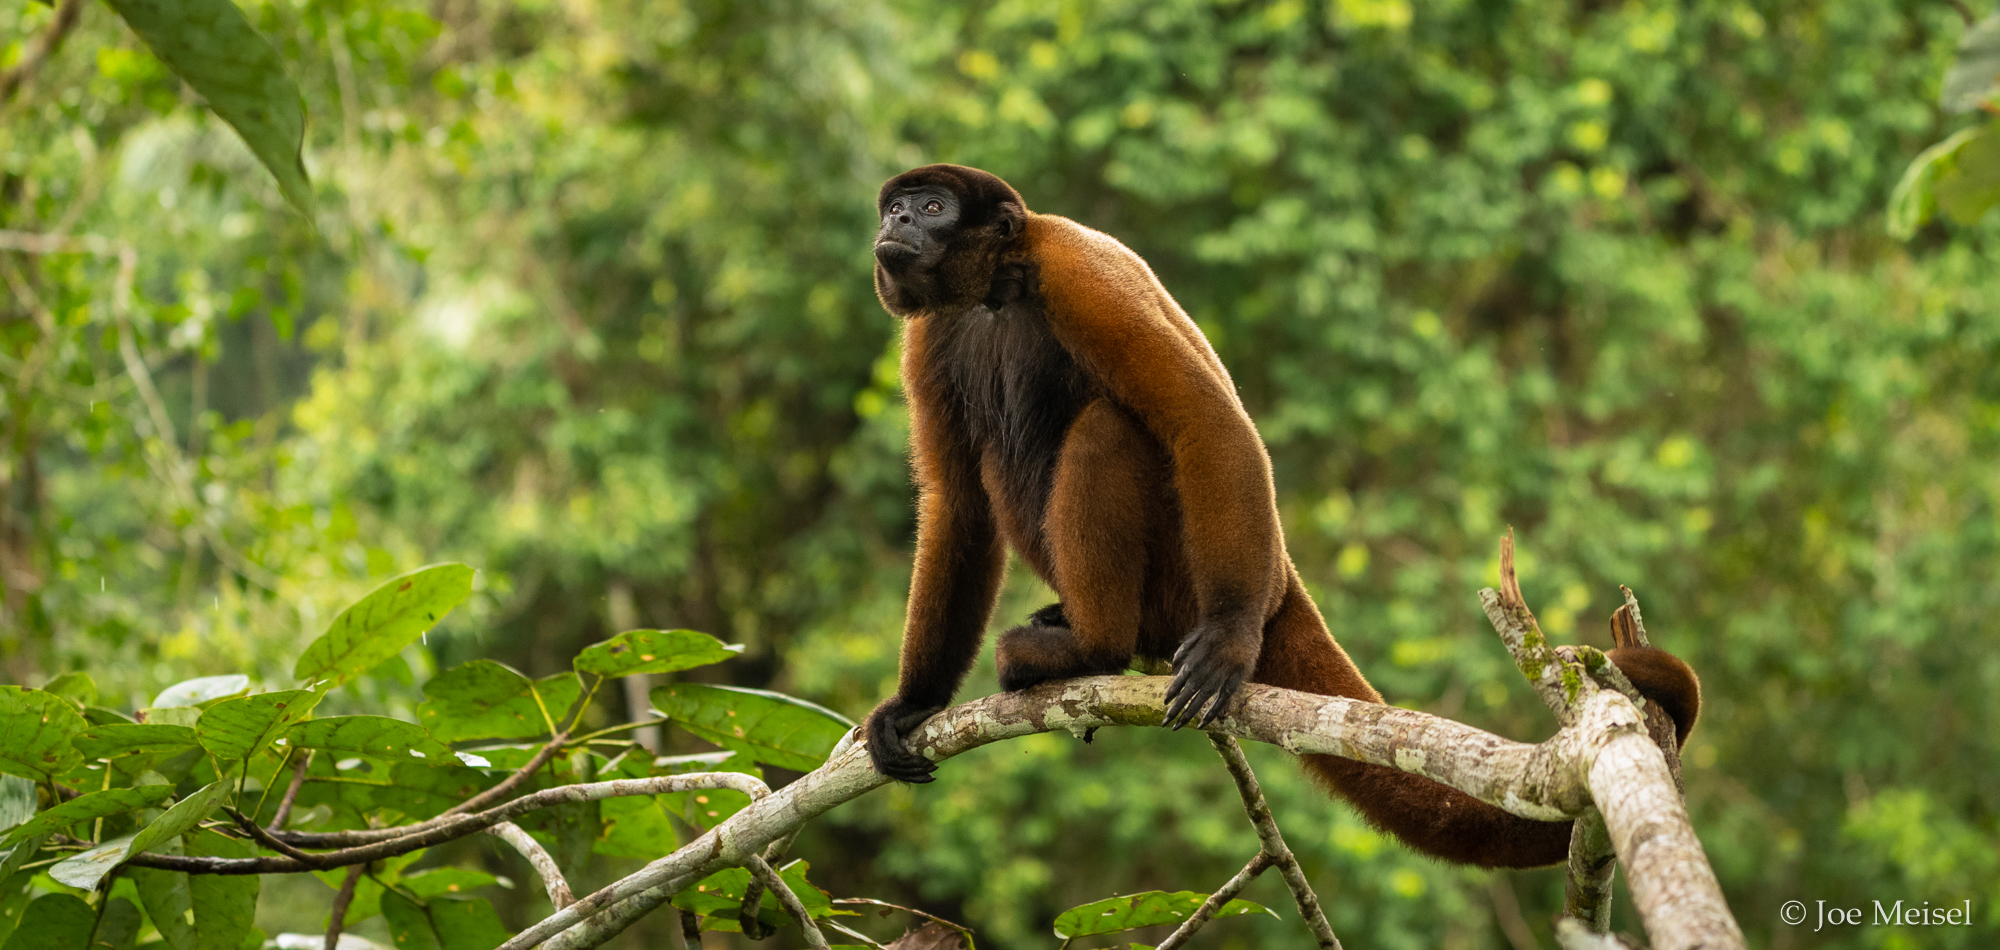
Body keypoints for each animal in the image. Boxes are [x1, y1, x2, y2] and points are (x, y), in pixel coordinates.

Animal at [861, 163, 1701, 869]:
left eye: (932, 208)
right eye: (897, 205)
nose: (895, 218)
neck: (996, 291)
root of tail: (1282, 581)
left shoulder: (1072, 271)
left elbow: (1206, 422)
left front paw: (1229, 642)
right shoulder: (929, 330)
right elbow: (957, 504)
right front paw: (915, 702)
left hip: (1184, 570)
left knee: (1107, 425)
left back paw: (1093, 647)